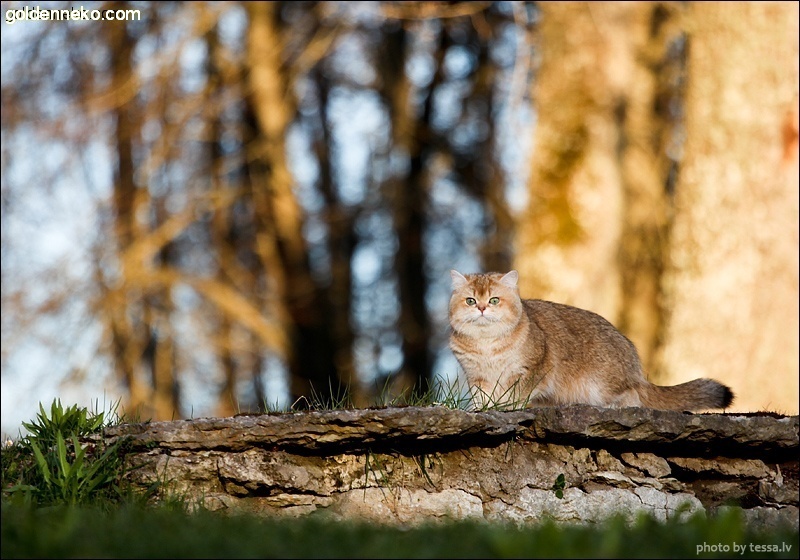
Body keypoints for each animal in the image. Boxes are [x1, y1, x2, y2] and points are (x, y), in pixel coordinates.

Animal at [446, 268, 736, 412]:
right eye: (470, 300)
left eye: (494, 300)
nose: (482, 308)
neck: (487, 345)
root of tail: (634, 361)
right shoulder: (477, 379)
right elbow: (483, 400)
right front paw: (483, 409)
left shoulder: (532, 369)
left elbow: (516, 395)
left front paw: (507, 407)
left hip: (601, 384)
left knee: (634, 396)